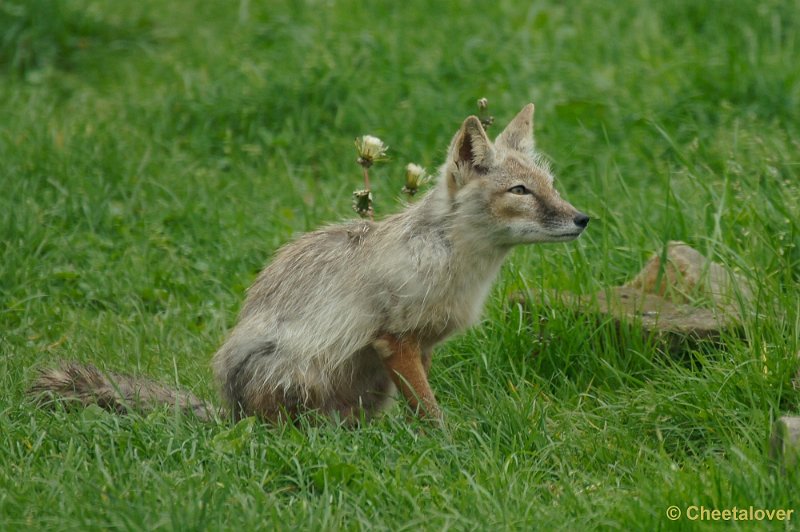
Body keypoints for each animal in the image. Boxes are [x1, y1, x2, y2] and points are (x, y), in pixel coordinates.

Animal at [31, 104, 588, 424]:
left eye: (550, 185)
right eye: (520, 191)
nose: (583, 218)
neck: (451, 261)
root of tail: (230, 414)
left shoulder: (423, 346)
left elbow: (422, 404)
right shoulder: (396, 340)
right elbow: (431, 412)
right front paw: (446, 445)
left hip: (369, 388)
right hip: (302, 375)